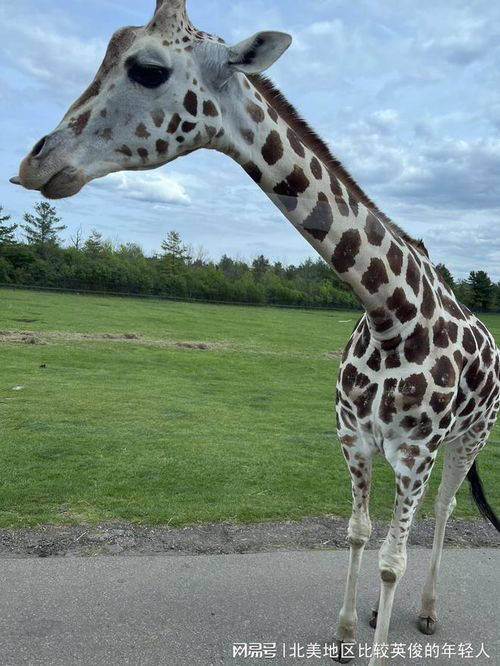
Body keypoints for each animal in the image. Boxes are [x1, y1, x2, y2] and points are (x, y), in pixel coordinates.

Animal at [9, 2, 500, 660]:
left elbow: (391, 559)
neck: (389, 312)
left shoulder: (416, 451)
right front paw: (347, 633)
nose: (34, 161)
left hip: (469, 438)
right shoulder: (355, 438)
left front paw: (375, 640)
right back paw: (384, 612)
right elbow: (358, 532)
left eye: (148, 69)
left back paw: (424, 612)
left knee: (444, 512)